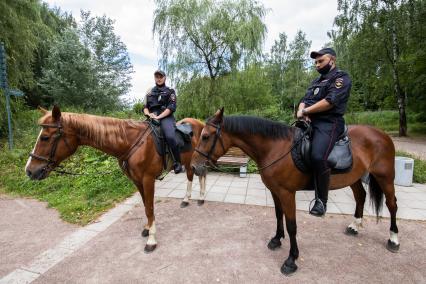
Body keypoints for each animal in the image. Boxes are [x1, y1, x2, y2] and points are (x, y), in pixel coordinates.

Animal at [25, 106, 206, 253]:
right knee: (198, 175)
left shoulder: (148, 180)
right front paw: (147, 228)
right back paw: (193, 199)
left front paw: (151, 240)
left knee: (195, 176)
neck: (131, 142)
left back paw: (195, 198)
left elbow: (150, 208)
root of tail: (199, 123)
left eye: (45, 137)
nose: (29, 170)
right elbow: (145, 205)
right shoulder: (137, 181)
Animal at [191, 108, 398, 276]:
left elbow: (292, 225)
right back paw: (354, 226)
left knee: (392, 204)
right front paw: (276, 239)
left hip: (385, 176)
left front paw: (291, 260)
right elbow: (278, 215)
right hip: (354, 178)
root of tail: (382, 134)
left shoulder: (287, 193)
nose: (194, 167)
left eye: (206, 136)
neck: (275, 148)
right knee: (360, 197)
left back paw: (394, 239)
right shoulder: (275, 191)